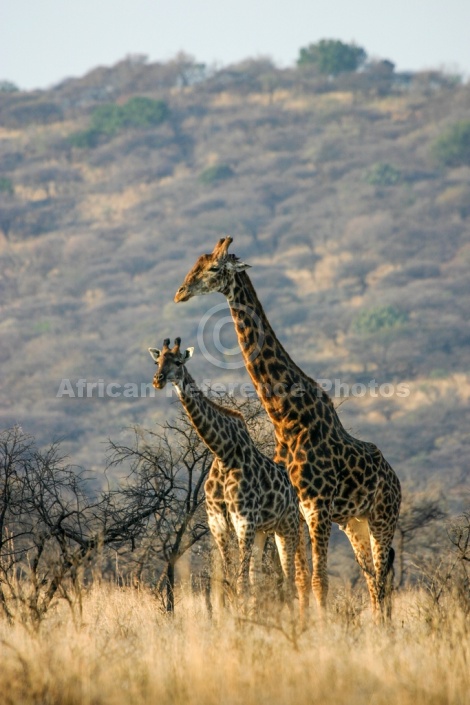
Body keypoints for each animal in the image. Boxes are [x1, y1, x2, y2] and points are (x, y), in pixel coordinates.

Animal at [147, 336, 308, 616]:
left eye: (178, 362)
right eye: (157, 362)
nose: (158, 380)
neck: (223, 453)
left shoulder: (244, 520)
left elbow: (240, 582)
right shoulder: (218, 523)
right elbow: (228, 580)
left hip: (287, 526)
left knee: (288, 580)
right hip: (264, 531)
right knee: (259, 577)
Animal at [174, 238, 402, 620]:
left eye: (214, 268)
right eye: (195, 263)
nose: (180, 292)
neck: (287, 419)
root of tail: (396, 480)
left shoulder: (316, 508)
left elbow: (318, 582)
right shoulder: (295, 511)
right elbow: (297, 580)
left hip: (383, 518)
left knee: (382, 579)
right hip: (353, 522)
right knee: (372, 579)